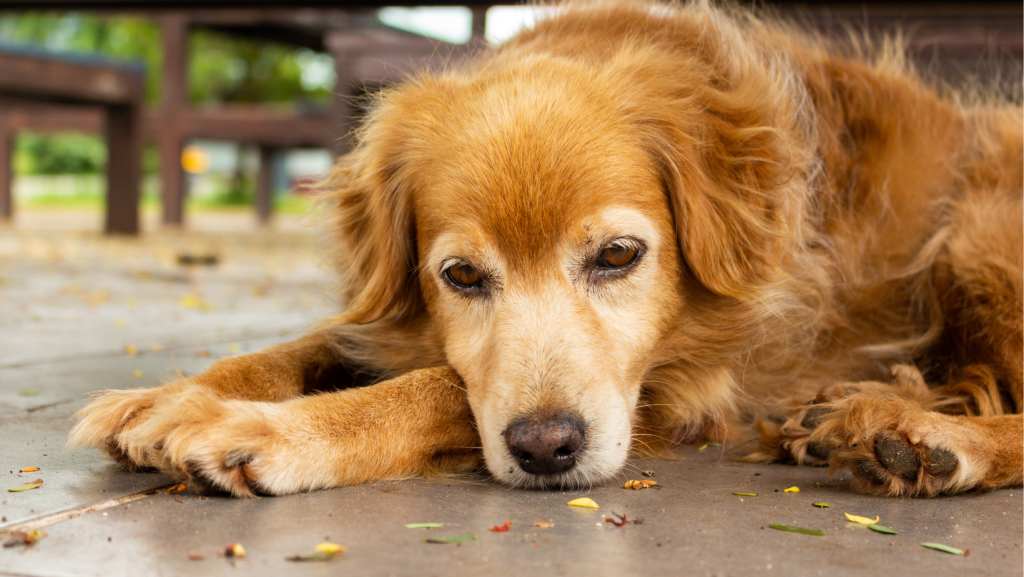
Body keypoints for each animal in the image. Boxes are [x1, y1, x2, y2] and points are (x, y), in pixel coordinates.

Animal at [68, 0, 1019, 496]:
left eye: (619, 256)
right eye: (460, 275)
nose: (544, 448)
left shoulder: (688, 385)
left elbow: (437, 387)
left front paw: (260, 428)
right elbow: (313, 344)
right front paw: (170, 394)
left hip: (976, 238)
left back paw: (927, 438)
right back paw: (856, 409)